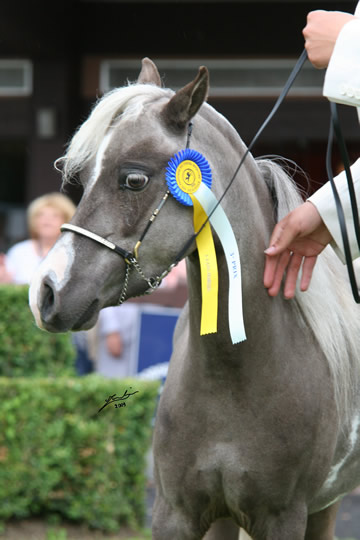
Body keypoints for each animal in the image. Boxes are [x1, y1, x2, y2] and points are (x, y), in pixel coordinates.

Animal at [28, 57, 360, 536]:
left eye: (133, 178)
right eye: (86, 178)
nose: (45, 291)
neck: (236, 374)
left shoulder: (283, 516)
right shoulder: (177, 512)